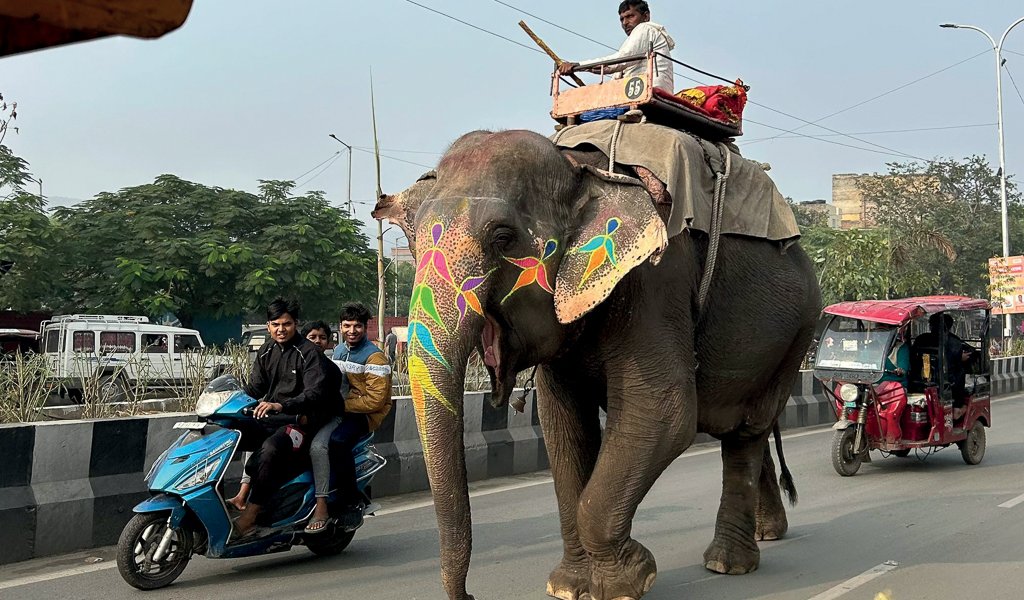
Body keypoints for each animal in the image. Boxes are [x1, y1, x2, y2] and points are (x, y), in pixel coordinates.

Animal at [373, 128, 820, 600]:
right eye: (415, 241)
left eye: (502, 237)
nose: (471, 595)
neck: (577, 168)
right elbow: (563, 423)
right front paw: (569, 587)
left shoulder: (654, 283)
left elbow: (663, 413)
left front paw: (630, 580)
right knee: (743, 429)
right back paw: (767, 533)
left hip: (798, 332)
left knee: (747, 432)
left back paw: (728, 563)